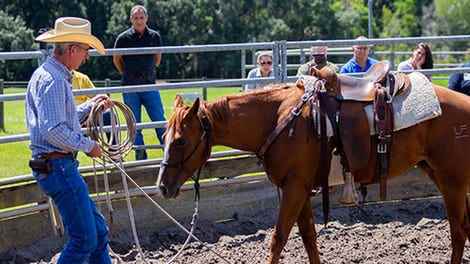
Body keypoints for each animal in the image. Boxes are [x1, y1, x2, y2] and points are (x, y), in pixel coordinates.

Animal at [157, 72, 470, 264]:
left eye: (181, 140)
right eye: (164, 138)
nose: (162, 186)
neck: (278, 118)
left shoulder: (294, 189)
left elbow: (278, 239)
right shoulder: (300, 189)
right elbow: (308, 238)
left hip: (452, 181)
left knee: (457, 232)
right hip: (440, 175)